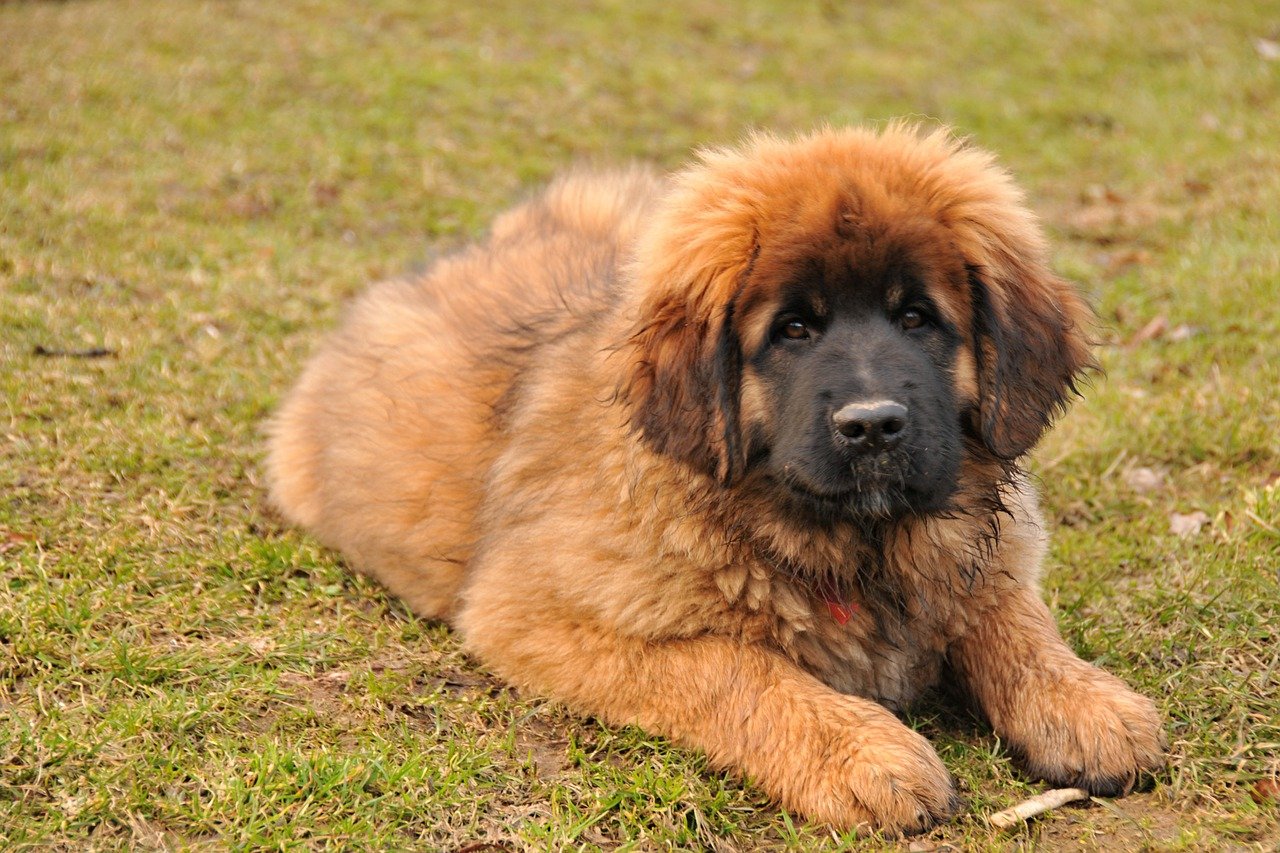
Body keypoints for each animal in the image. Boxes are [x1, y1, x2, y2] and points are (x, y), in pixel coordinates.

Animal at [264, 124, 1167, 829]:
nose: (873, 424)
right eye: (793, 330)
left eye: (917, 318)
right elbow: (736, 668)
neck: (856, 548)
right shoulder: (537, 614)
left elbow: (1012, 619)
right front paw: (861, 750)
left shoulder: (988, 557)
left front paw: (1084, 701)